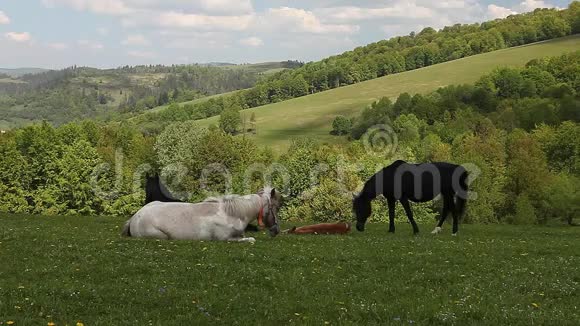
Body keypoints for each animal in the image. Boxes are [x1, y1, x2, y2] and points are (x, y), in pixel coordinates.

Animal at [123, 186, 282, 242]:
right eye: (276, 206)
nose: (276, 230)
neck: (232, 214)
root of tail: (135, 217)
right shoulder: (226, 239)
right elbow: (250, 240)